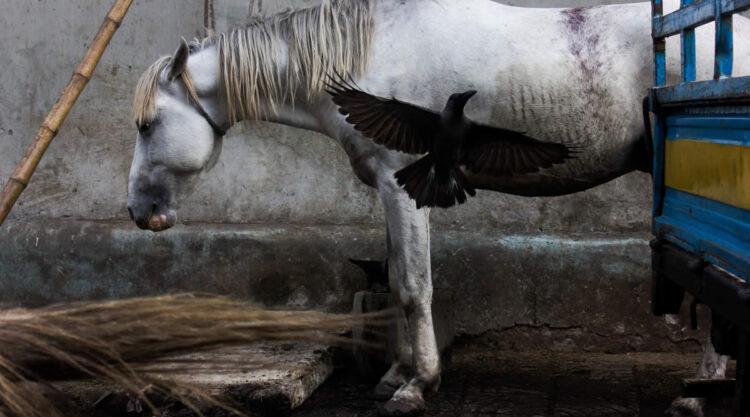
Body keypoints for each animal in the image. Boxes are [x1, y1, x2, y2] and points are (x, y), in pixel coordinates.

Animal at [126, 1, 748, 414]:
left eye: (148, 124)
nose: (137, 211)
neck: (367, 57)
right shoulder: (391, 190)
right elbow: (397, 275)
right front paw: (398, 372)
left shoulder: (404, 189)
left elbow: (412, 288)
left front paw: (417, 384)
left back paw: (700, 389)